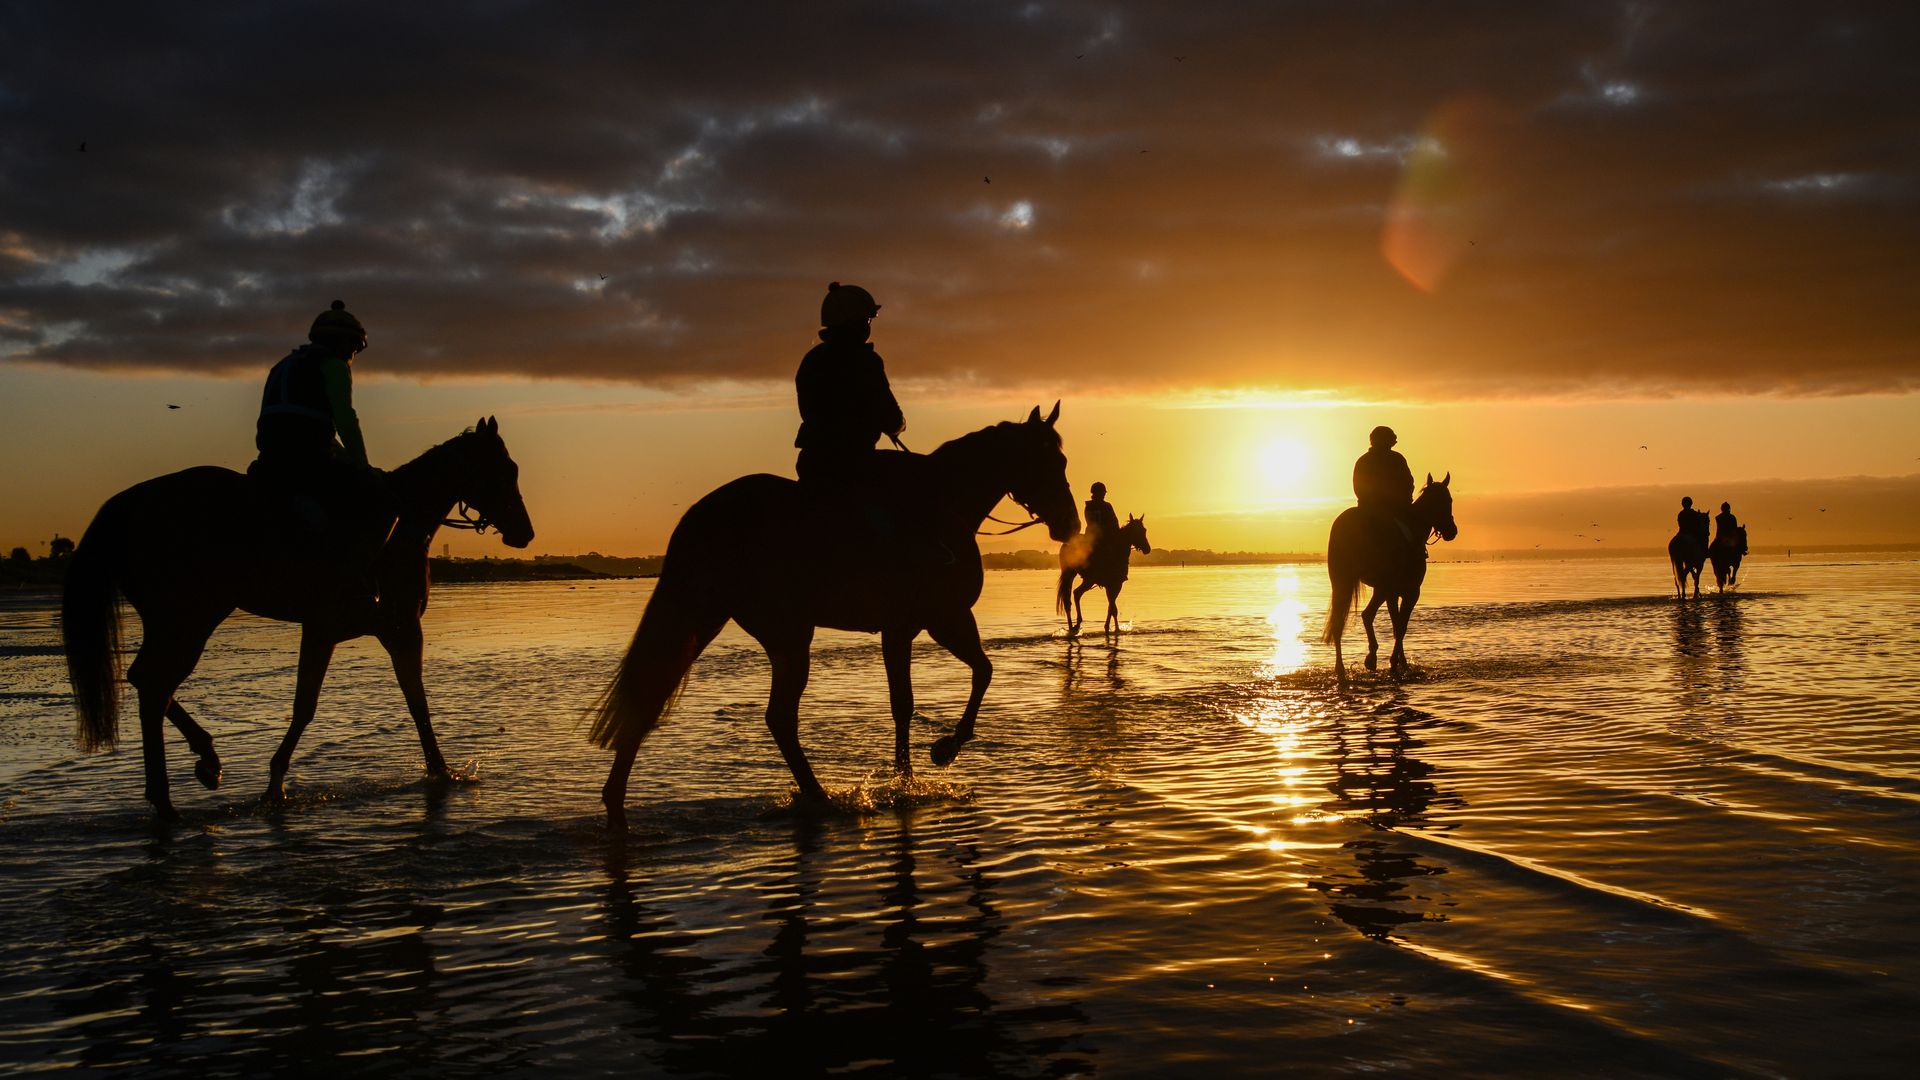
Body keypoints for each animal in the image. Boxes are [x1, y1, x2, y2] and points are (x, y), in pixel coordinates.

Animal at [62, 417, 533, 810]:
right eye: (505, 470)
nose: (525, 532)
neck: (401, 529)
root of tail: (130, 503)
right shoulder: (376, 627)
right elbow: (321, 705)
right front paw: (275, 785)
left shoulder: (368, 630)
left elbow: (407, 701)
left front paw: (440, 770)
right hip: (190, 617)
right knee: (155, 685)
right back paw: (173, 792)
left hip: (174, 619)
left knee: (146, 681)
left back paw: (196, 769)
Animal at [587, 403, 1082, 822]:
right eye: (1050, 463)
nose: (1070, 525)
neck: (941, 507)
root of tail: (703, 515)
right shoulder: (921, 623)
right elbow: (918, 697)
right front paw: (926, 765)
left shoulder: (937, 621)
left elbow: (968, 677)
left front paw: (925, 765)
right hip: (785, 632)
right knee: (775, 716)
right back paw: (818, 796)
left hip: (714, 619)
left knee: (658, 691)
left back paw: (617, 799)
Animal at [1320, 472, 1451, 687]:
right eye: (1448, 501)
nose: (1452, 531)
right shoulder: (1410, 592)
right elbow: (1401, 626)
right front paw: (1394, 663)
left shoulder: (1390, 592)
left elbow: (1393, 624)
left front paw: (1398, 662)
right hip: (1380, 586)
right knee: (1368, 616)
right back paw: (1370, 659)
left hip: (1344, 583)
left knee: (1342, 621)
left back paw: (1341, 669)